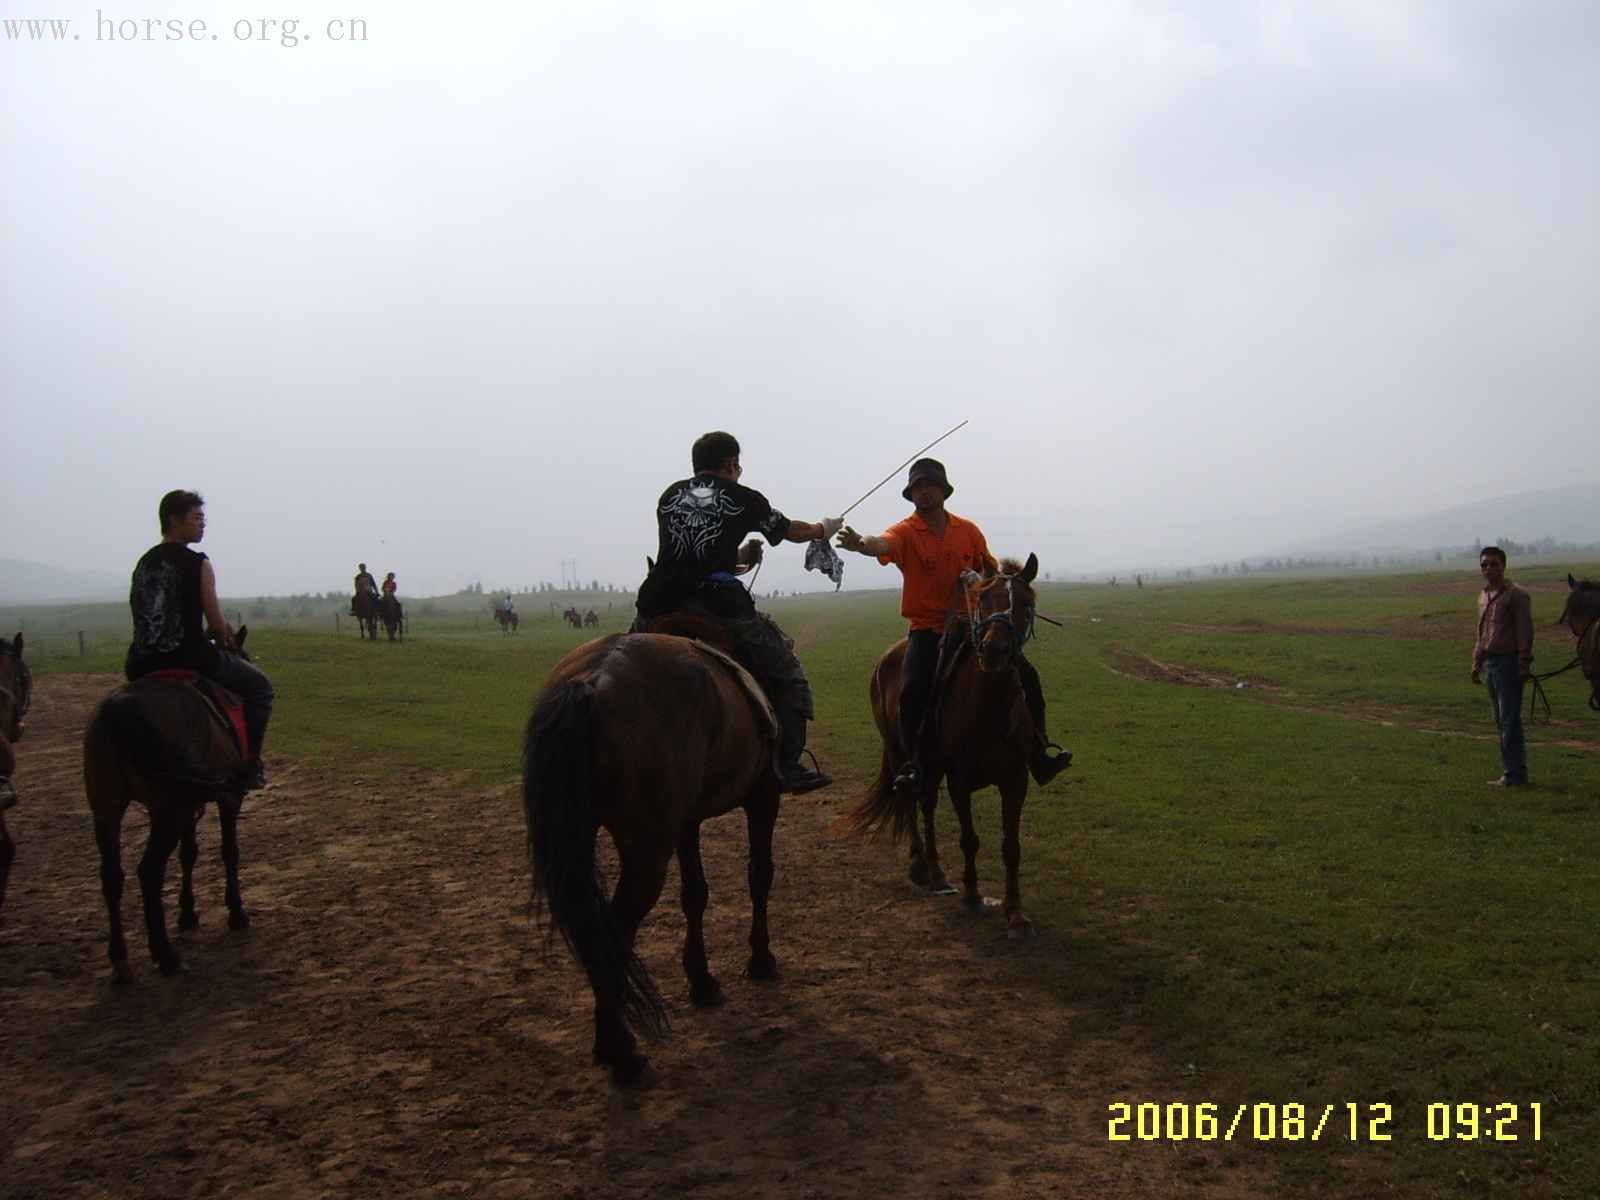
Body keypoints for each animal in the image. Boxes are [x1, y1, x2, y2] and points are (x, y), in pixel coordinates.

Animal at [82, 630, 252, 979]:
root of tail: (120, 709)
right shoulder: (228, 797)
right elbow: (229, 851)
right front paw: (236, 911)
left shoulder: (187, 805)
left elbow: (189, 853)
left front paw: (187, 913)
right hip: (167, 810)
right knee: (149, 871)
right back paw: (165, 955)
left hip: (107, 807)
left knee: (111, 876)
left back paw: (120, 958)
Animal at [524, 633, 780, 1088]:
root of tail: (591, 683)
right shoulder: (764, 796)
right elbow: (759, 876)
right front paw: (761, 958)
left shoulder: (686, 820)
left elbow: (695, 894)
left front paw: (701, 979)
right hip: (645, 852)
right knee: (614, 929)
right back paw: (621, 1051)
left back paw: (611, 1044)